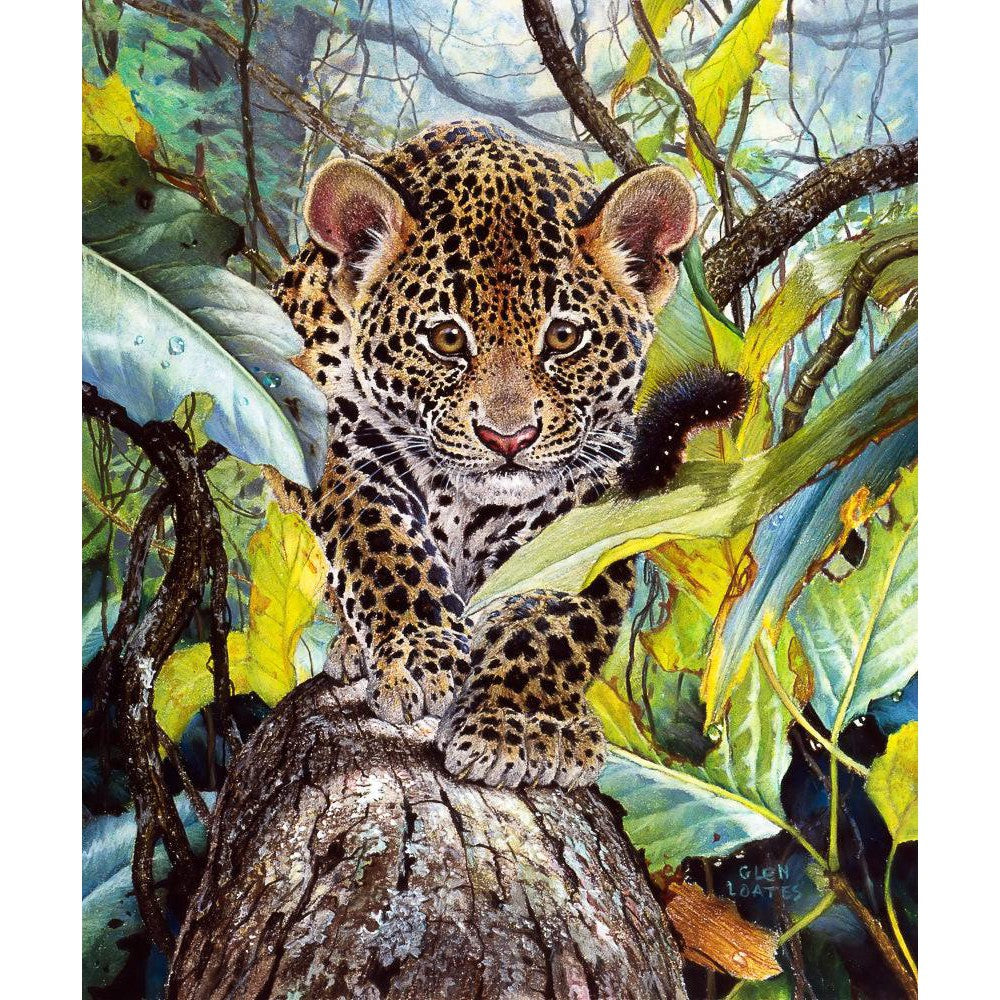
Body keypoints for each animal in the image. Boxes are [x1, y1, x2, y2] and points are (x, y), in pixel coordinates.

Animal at [270, 120, 701, 789]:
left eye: (563, 337)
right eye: (447, 339)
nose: (508, 438)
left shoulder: (590, 494)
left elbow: (555, 609)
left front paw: (521, 723)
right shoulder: (331, 444)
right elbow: (378, 541)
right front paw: (421, 658)